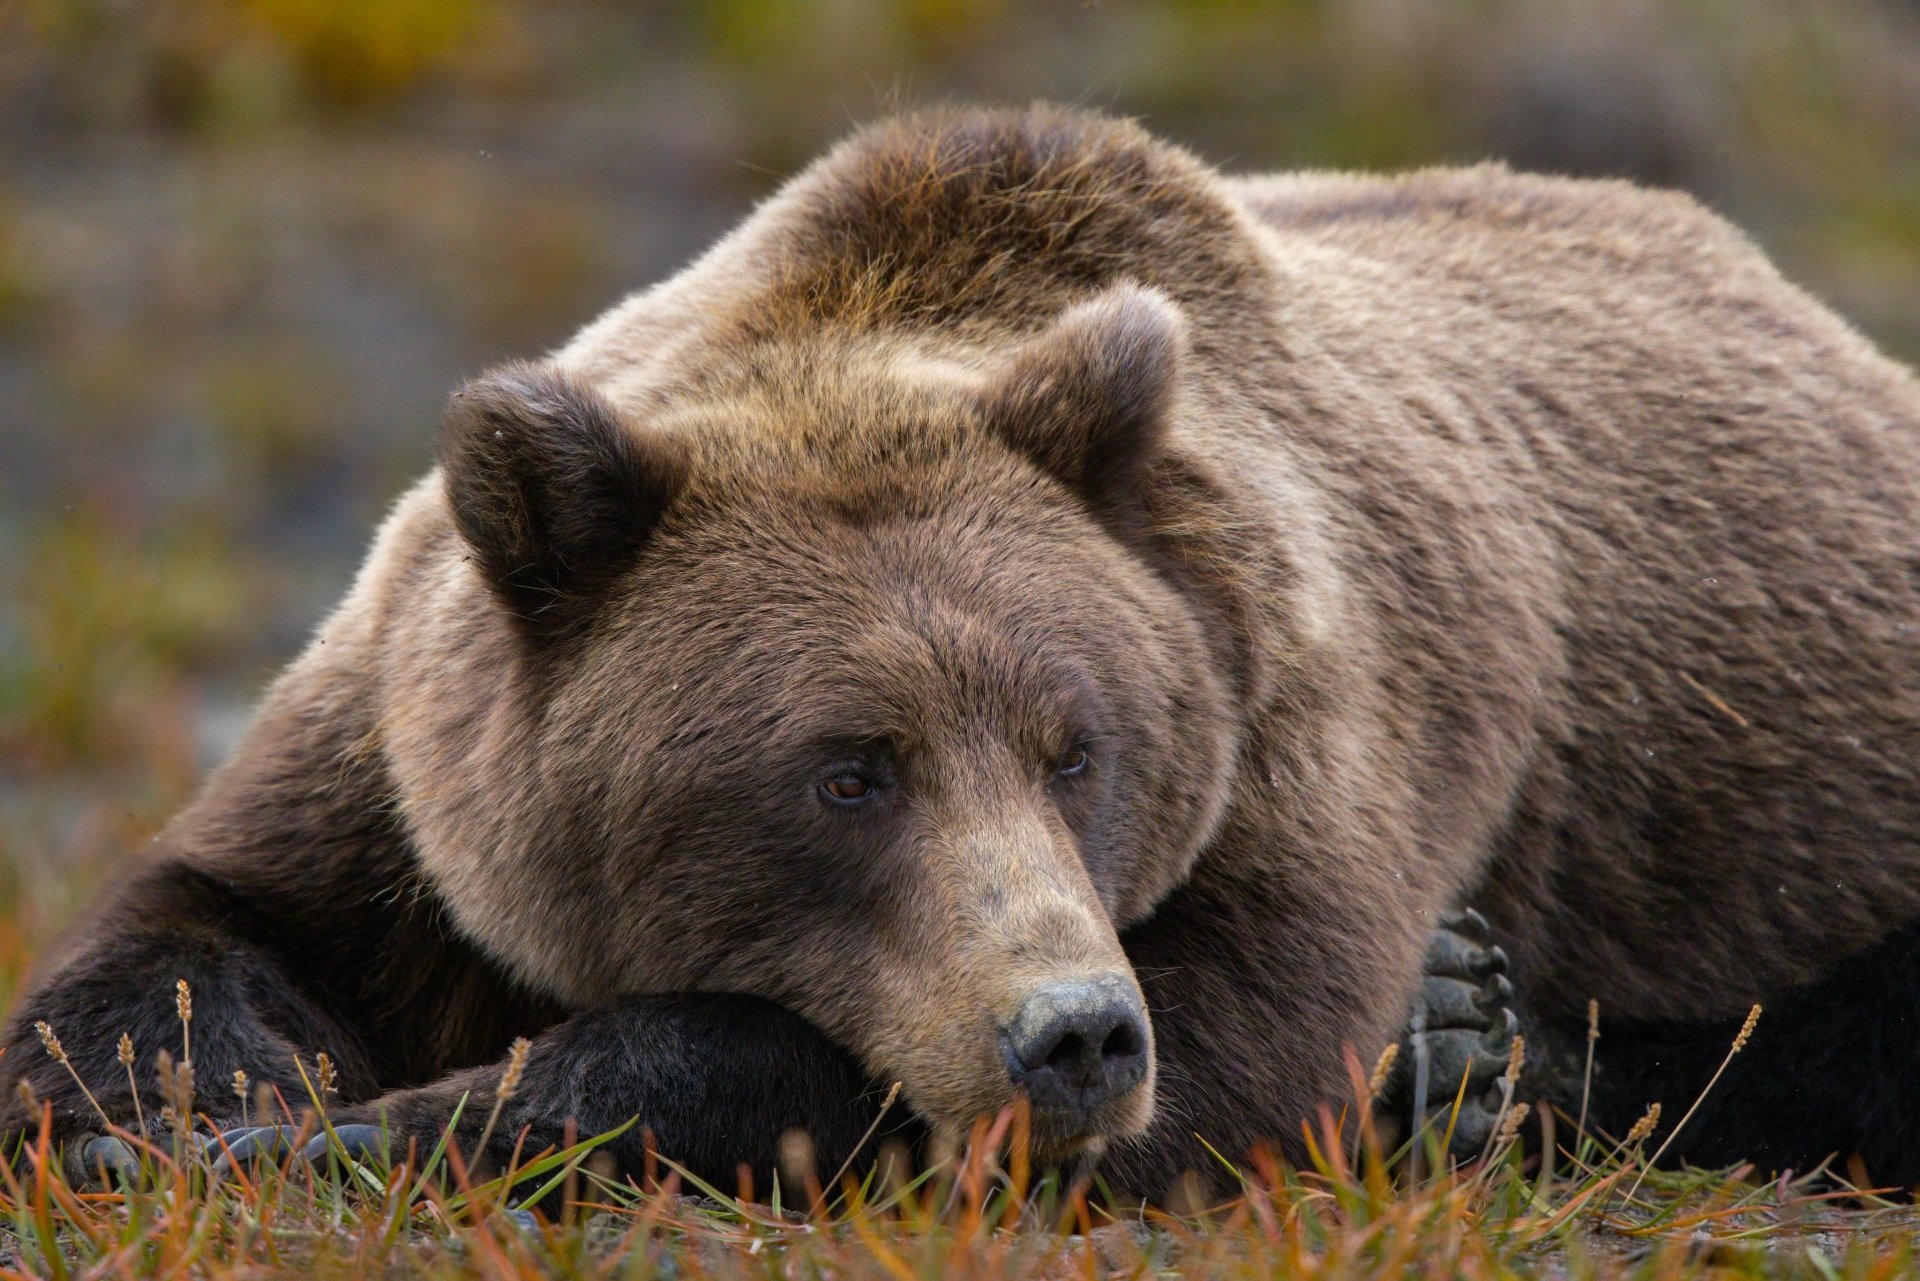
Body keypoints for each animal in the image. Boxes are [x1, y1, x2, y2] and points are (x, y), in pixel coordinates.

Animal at [7, 103, 1920, 1201]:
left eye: (1080, 746)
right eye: (846, 771)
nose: (1072, 1034)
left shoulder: (1310, 694)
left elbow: (1252, 1031)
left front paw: (385, 1125)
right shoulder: (402, 763)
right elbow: (190, 933)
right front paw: (197, 1115)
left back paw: (1480, 1051)